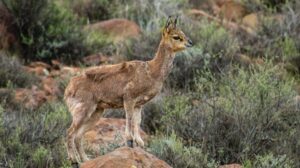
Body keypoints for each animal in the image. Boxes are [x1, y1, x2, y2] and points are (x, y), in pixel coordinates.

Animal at [64, 16, 193, 163]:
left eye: (183, 33)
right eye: (176, 36)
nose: (190, 42)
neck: (151, 71)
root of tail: (69, 88)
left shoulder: (139, 104)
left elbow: (137, 121)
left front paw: (139, 143)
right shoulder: (129, 99)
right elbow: (129, 119)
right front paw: (130, 141)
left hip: (96, 112)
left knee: (78, 136)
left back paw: (85, 160)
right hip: (83, 111)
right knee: (70, 132)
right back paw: (73, 159)